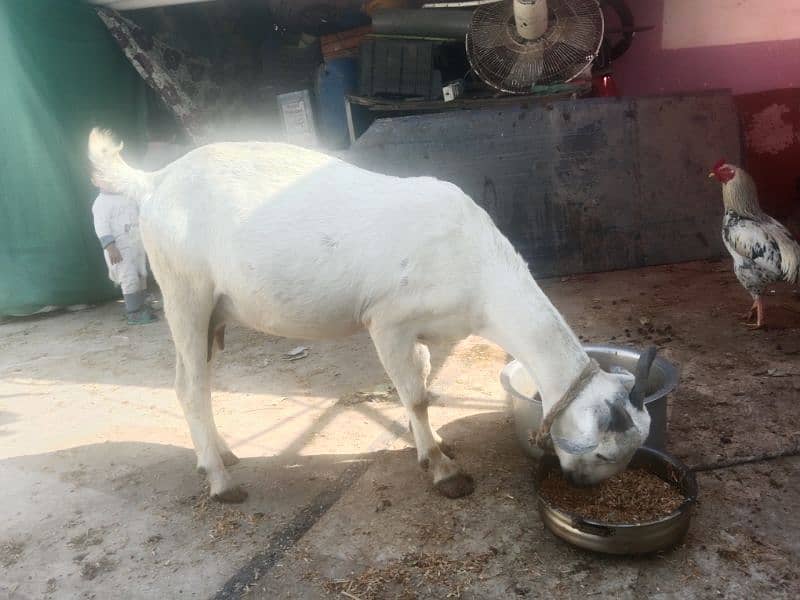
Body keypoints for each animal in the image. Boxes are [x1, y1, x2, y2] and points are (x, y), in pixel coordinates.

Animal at [89, 130, 648, 502]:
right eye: (603, 453)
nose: (578, 483)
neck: (480, 272)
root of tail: (155, 180)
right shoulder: (389, 321)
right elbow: (417, 396)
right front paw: (443, 472)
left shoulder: (425, 330)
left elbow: (423, 384)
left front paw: (435, 446)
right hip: (185, 288)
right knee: (190, 386)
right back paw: (222, 482)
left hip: (212, 311)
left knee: (192, 381)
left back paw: (221, 455)